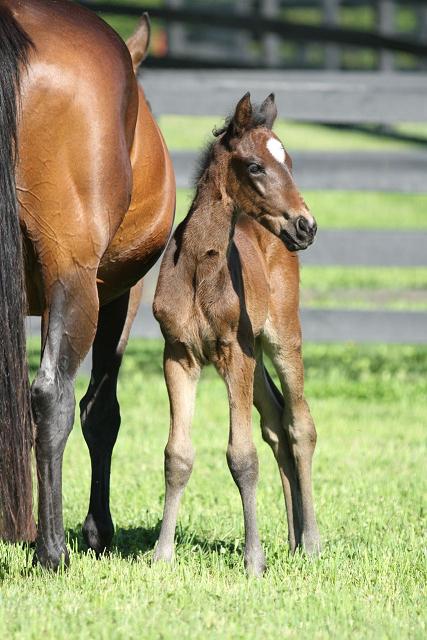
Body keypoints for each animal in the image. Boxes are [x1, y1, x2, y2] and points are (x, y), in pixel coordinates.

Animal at [154, 91, 320, 576]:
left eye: (290, 161)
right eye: (255, 166)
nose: (306, 226)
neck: (199, 266)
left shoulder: (233, 354)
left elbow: (242, 456)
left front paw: (254, 560)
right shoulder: (179, 354)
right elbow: (177, 455)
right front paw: (162, 555)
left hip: (281, 339)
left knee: (300, 424)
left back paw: (312, 542)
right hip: (256, 353)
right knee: (277, 424)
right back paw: (293, 541)